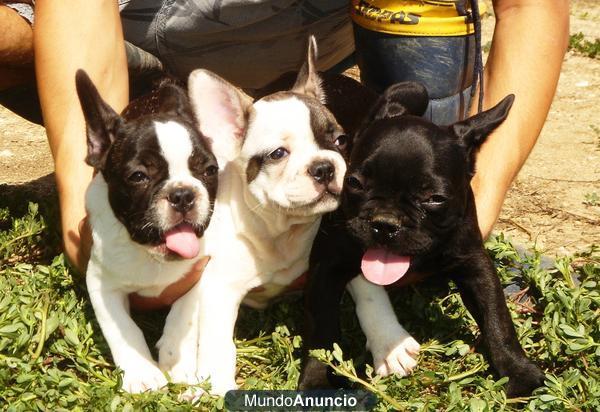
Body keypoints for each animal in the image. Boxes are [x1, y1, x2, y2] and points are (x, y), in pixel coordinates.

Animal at [75, 71, 218, 392]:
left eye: (210, 171)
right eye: (138, 176)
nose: (183, 194)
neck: (151, 256)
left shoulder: (199, 274)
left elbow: (183, 318)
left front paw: (178, 363)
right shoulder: (101, 283)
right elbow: (122, 329)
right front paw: (142, 373)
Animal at [157, 37, 350, 394]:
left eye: (340, 140)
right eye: (277, 154)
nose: (324, 167)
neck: (281, 230)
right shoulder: (221, 288)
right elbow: (218, 345)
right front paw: (217, 388)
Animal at [298, 83, 548, 396]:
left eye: (435, 199)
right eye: (353, 183)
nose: (385, 223)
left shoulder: (475, 263)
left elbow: (496, 316)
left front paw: (518, 370)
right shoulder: (326, 266)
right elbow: (322, 331)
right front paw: (316, 381)